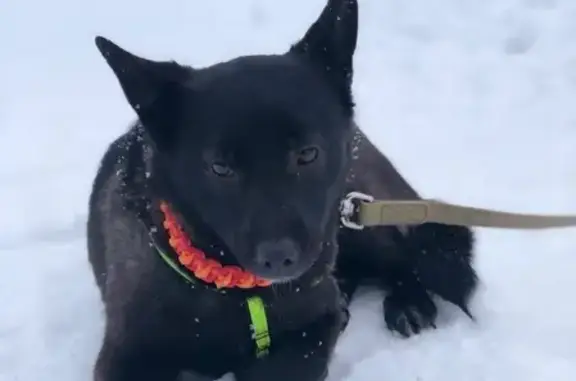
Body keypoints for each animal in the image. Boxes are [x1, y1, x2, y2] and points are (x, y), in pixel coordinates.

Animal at [88, 1, 480, 378]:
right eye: (220, 167)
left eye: (307, 154)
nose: (278, 258)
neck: (240, 293)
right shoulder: (127, 354)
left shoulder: (314, 326)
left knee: (401, 252)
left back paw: (410, 303)